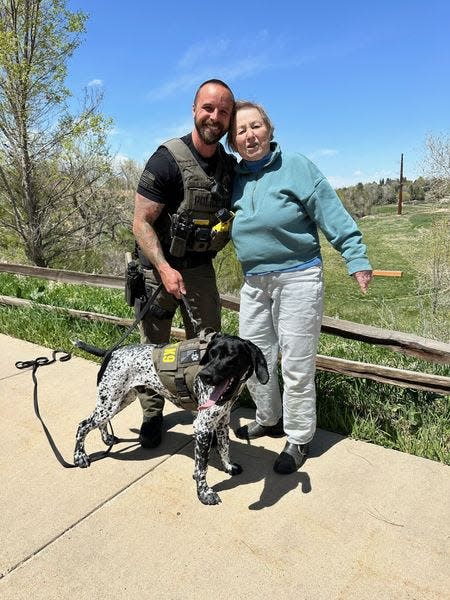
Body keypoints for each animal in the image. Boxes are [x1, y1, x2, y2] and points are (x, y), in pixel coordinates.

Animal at [73, 332, 268, 506]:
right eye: (211, 354)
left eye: (231, 356)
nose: (204, 375)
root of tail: (111, 351)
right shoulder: (202, 427)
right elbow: (202, 467)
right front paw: (204, 493)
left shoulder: (222, 421)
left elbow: (224, 446)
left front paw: (228, 466)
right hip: (109, 404)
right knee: (83, 425)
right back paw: (79, 456)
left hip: (118, 401)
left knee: (99, 423)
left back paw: (107, 438)